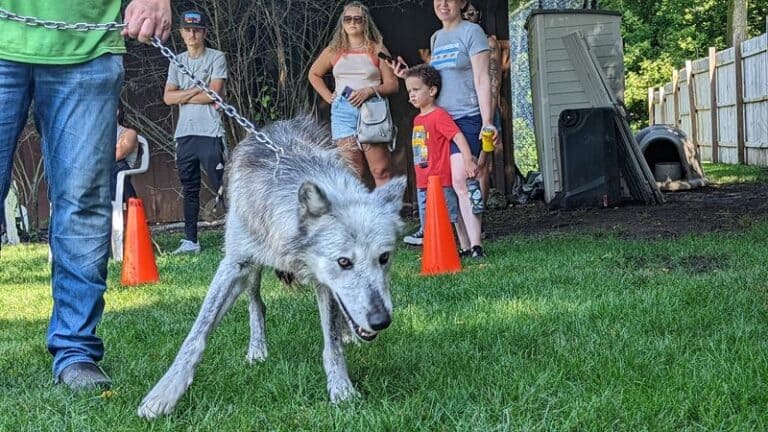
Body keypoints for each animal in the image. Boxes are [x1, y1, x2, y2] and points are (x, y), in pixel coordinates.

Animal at [137, 116, 406, 419]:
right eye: (344, 262)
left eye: (384, 258)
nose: (381, 321)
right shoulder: (233, 265)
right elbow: (196, 335)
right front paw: (163, 395)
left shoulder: (323, 283)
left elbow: (332, 342)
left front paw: (342, 390)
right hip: (251, 270)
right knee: (256, 304)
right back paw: (257, 349)